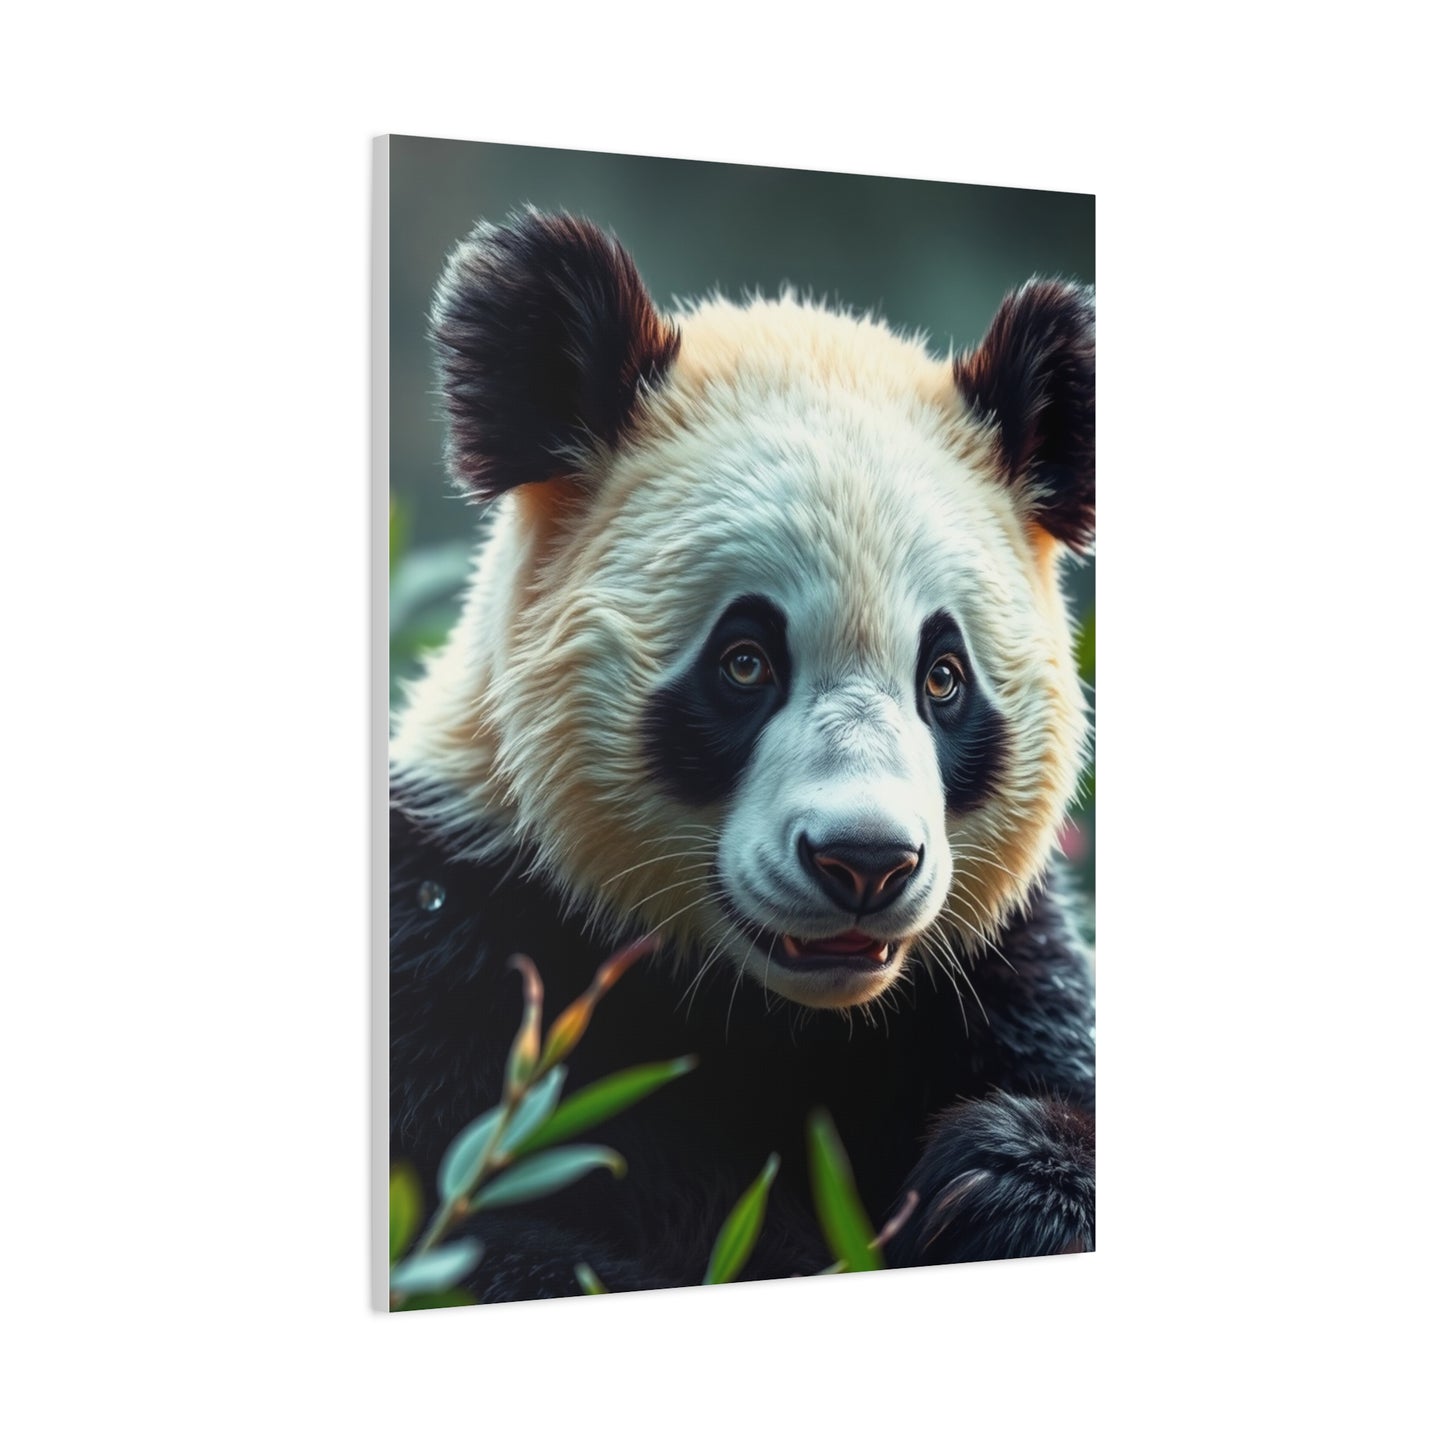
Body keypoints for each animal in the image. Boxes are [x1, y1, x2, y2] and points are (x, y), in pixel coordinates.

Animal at [390, 209, 1095, 1302]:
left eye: (942, 677)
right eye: (745, 659)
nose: (864, 861)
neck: (778, 1013)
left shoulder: (994, 972)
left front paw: (992, 1181)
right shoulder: (458, 943)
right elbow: (493, 1232)